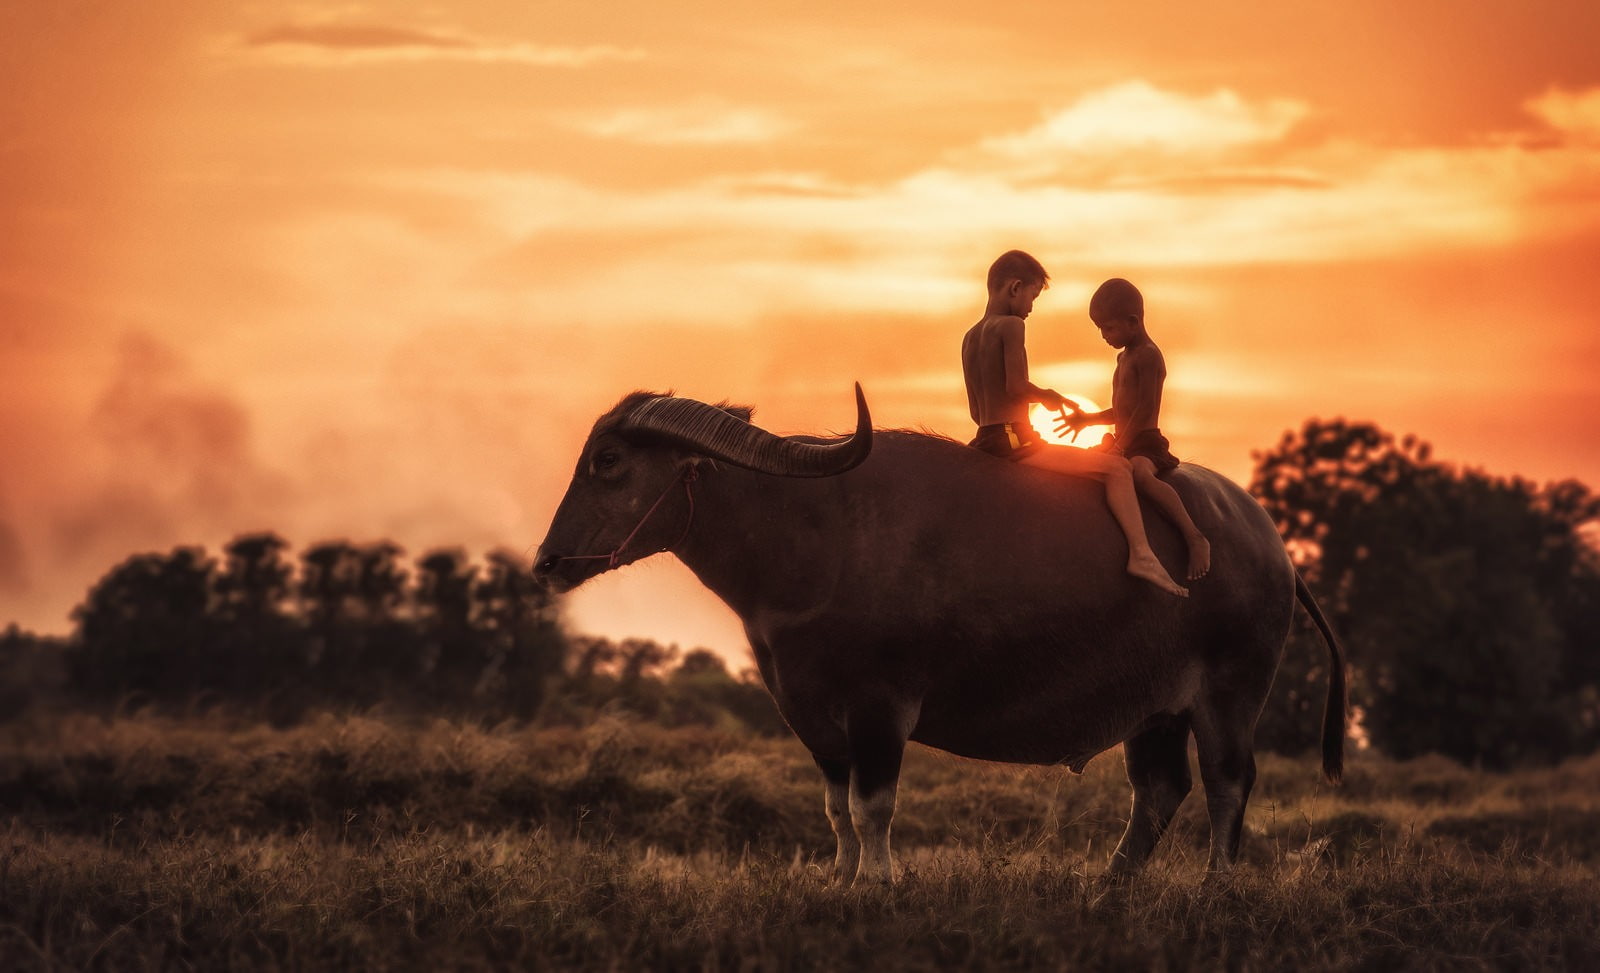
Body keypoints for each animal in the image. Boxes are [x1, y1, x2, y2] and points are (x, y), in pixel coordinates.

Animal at [534, 385, 1346, 883]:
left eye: (609, 461)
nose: (547, 560)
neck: (813, 541)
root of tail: (1267, 542)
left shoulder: (880, 707)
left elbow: (875, 802)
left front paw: (880, 880)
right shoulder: (808, 711)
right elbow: (837, 806)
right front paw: (840, 877)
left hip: (1231, 694)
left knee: (1227, 783)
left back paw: (1214, 884)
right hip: (1156, 709)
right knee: (1160, 788)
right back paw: (1109, 883)